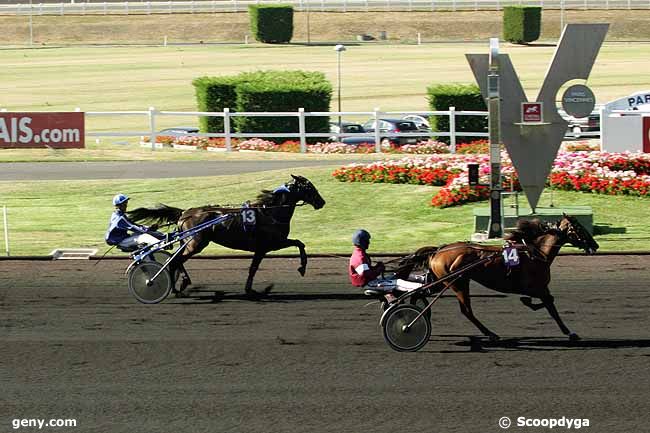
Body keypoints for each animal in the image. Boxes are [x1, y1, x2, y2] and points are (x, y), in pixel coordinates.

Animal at [128, 174, 324, 296]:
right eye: (309, 187)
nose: (322, 202)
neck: (270, 211)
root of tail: (185, 213)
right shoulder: (272, 243)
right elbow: (299, 243)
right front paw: (302, 268)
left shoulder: (262, 248)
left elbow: (253, 268)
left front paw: (250, 290)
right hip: (196, 243)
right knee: (174, 261)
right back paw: (170, 287)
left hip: (191, 243)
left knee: (175, 259)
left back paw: (182, 283)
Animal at [404, 214, 596, 340]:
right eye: (579, 228)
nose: (595, 245)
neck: (535, 253)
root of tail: (438, 250)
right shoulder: (535, 287)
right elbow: (550, 304)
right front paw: (570, 332)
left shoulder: (540, 287)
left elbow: (550, 303)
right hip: (457, 282)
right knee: (467, 311)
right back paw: (491, 334)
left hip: (443, 281)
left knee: (419, 293)